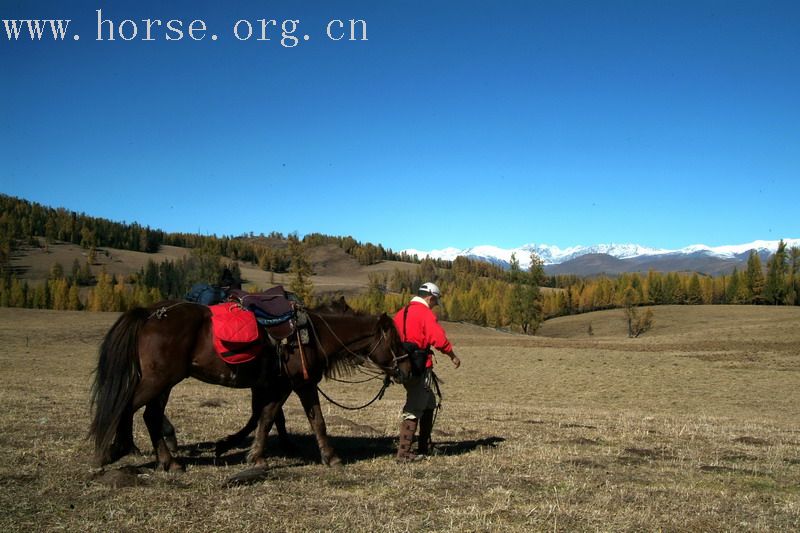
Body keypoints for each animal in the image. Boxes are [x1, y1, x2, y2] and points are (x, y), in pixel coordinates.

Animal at [90, 300, 410, 470]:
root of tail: (149, 312)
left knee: (149, 415)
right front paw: (331, 457)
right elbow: (313, 420)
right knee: (126, 408)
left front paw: (252, 454)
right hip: (158, 380)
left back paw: (168, 462)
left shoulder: (276, 385)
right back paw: (107, 453)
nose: (406, 369)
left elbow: (266, 417)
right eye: (395, 341)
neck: (313, 334)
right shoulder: (300, 383)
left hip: (164, 383)